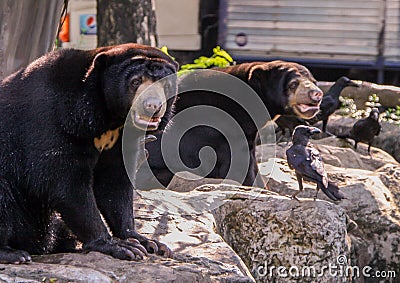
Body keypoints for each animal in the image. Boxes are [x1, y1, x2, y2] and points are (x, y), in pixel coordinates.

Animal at [0, 43, 178, 266]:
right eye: (135, 82)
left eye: (165, 85)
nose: (153, 106)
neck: (110, 121)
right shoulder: (53, 122)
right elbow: (66, 184)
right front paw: (119, 247)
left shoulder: (120, 140)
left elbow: (114, 184)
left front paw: (148, 242)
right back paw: (14, 254)